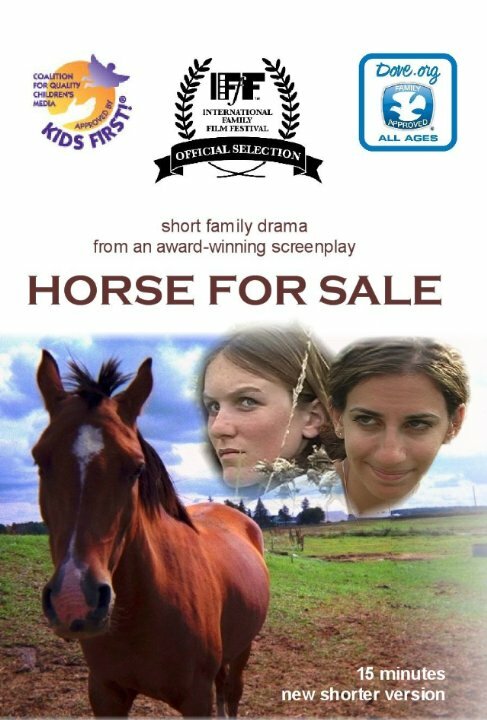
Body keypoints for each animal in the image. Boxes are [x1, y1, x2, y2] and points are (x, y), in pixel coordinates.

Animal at [32, 350, 269, 717]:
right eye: (39, 461)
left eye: (136, 467)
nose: (74, 601)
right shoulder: (105, 694)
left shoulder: (196, 699)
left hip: (242, 649)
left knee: (231, 691)